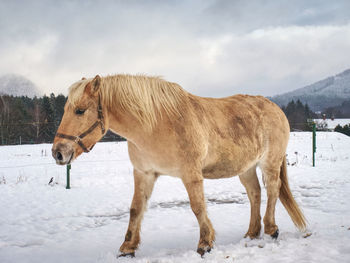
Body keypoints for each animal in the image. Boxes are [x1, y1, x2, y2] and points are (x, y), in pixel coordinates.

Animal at [52, 74, 306, 258]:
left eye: (80, 110)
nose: (58, 152)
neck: (155, 124)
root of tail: (275, 108)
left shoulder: (190, 173)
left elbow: (197, 207)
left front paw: (205, 243)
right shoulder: (144, 173)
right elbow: (136, 209)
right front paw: (127, 248)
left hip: (269, 162)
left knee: (273, 190)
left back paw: (271, 229)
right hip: (246, 168)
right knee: (255, 193)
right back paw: (252, 234)